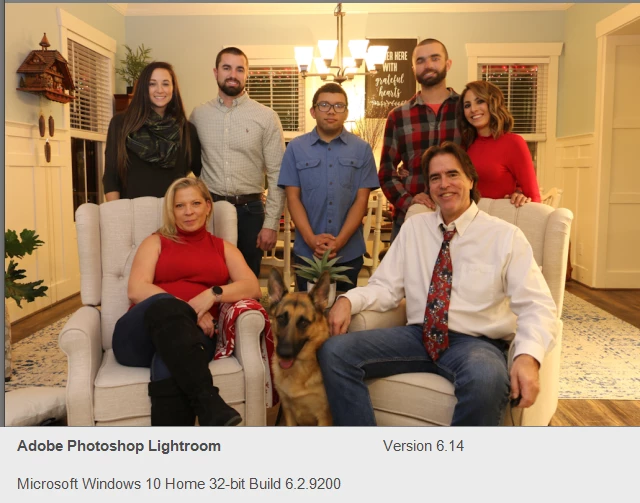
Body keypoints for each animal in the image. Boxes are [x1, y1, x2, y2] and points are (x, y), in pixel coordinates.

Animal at [267, 268, 332, 426]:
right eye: (281, 318)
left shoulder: (324, 418)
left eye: (303, 322)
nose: (283, 353)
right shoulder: (288, 413)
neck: (297, 368)